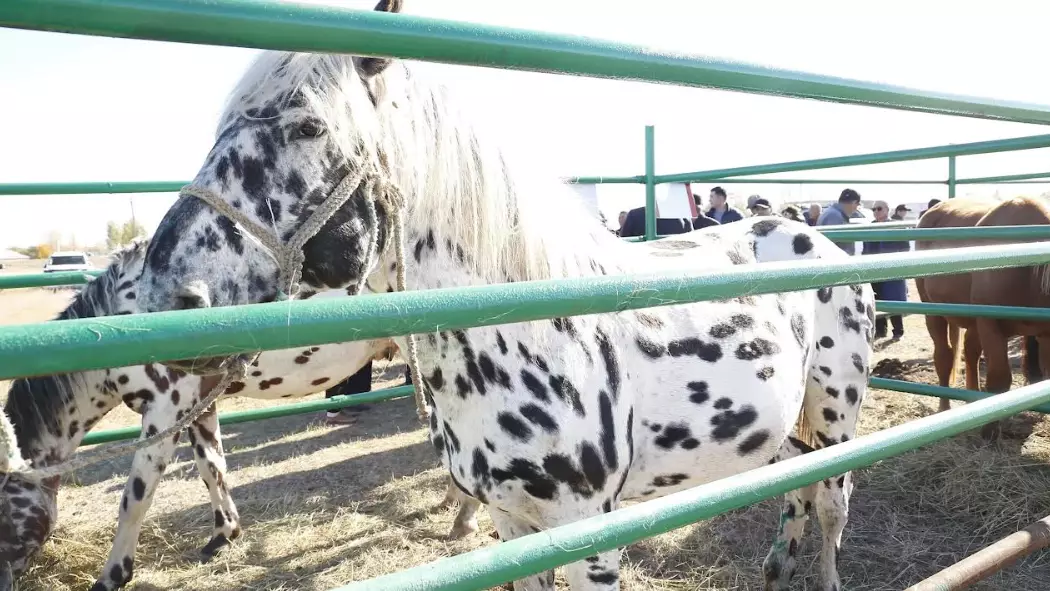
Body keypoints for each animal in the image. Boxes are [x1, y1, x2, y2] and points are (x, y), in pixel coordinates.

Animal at [0, 240, 480, 591]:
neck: (122, 321)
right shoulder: (198, 407)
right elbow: (213, 468)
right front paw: (223, 534)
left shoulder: (164, 411)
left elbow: (135, 498)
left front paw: (112, 576)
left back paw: (465, 517)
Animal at [133, 3, 877, 587]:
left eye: (307, 125)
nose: (163, 293)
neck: (530, 330)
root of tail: (810, 235)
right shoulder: (511, 522)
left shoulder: (589, 532)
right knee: (795, 481)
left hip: (837, 411)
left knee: (832, 499)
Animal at [919, 196, 1050, 436]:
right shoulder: (990, 324)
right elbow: (999, 380)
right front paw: (989, 430)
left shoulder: (1045, 333)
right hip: (933, 311)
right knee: (944, 356)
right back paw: (944, 408)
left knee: (970, 351)